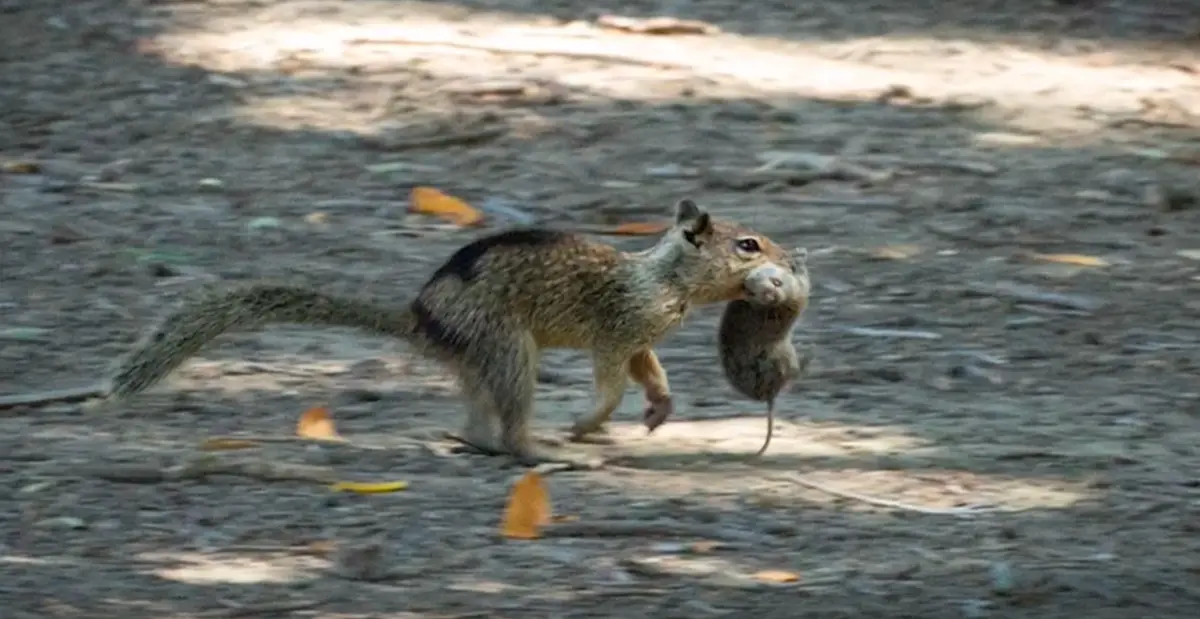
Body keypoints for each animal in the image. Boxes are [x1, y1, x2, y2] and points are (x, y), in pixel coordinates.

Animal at [105, 198, 794, 467]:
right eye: (748, 245)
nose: (790, 260)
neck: (665, 278)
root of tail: (419, 318)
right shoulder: (617, 329)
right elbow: (611, 383)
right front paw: (589, 422)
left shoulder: (642, 339)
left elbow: (651, 372)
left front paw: (660, 408)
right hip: (510, 349)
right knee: (512, 427)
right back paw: (546, 450)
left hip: (481, 361)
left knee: (478, 420)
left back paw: (473, 441)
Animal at [716, 247, 812, 458]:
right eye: (752, 292)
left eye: (776, 282)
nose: (771, 295)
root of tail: (769, 395)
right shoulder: (799, 291)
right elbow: (804, 280)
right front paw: (799, 257)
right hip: (782, 356)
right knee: (793, 374)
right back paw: (809, 355)